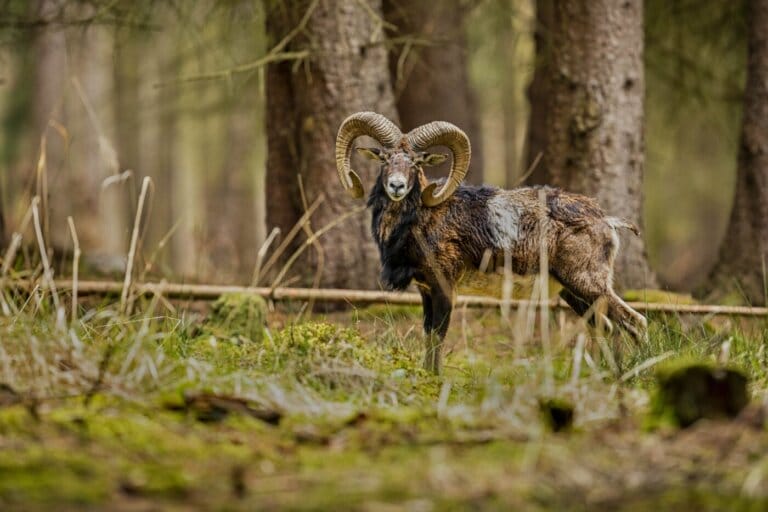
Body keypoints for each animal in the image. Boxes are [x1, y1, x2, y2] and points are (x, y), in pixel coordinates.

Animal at [335, 111, 648, 373]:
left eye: (416, 161)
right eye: (385, 158)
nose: (397, 186)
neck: (421, 220)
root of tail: (606, 221)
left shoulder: (444, 288)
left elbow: (437, 335)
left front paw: (434, 378)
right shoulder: (425, 291)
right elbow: (427, 334)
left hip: (589, 285)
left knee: (636, 323)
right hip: (573, 294)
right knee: (606, 327)